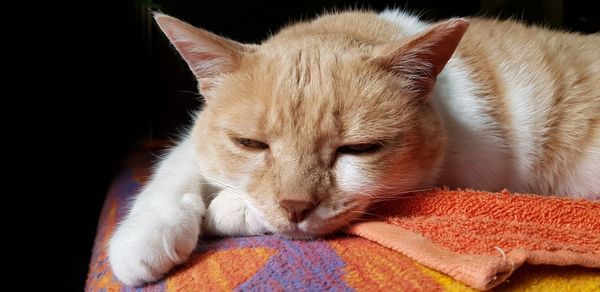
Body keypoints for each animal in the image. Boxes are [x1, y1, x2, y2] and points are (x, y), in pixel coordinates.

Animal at [108, 8, 600, 286]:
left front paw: (227, 209)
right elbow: (178, 165)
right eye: (251, 143)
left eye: (358, 150)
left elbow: (232, 201)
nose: (295, 206)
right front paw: (141, 239)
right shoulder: (197, 141)